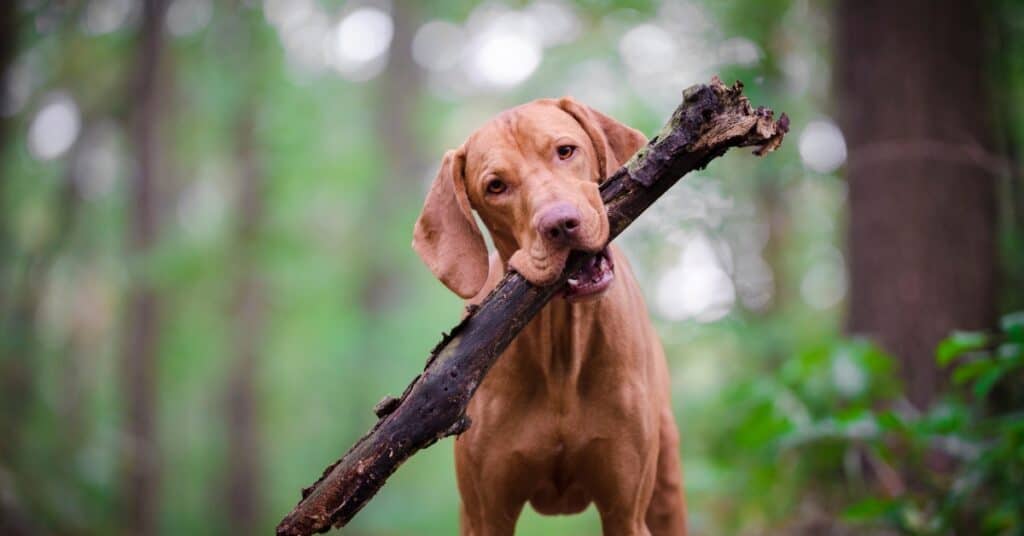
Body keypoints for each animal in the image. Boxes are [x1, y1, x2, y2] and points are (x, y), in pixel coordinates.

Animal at [409, 97, 688, 536]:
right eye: (495, 186)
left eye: (565, 151)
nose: (560, 224)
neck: (559, 348)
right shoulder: (488, 516)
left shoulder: (625, 513)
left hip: (666, 487)